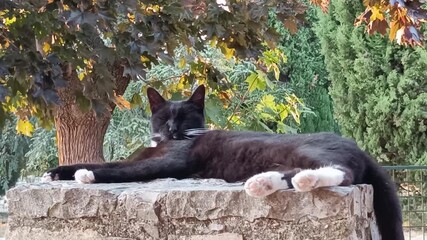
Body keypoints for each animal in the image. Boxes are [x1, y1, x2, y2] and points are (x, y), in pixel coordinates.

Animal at [42, 85, 404, 239]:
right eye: (163, 117)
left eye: (184, 117)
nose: (172, 129)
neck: (169, 143)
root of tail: (359, 147)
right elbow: (108, 162)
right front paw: (59, 172)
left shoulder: (171, 162)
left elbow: (122, 169)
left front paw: (84, 175)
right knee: (297, 173)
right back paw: (262, 182)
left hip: (313, 152)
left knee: (342, 173)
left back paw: (301, 181)